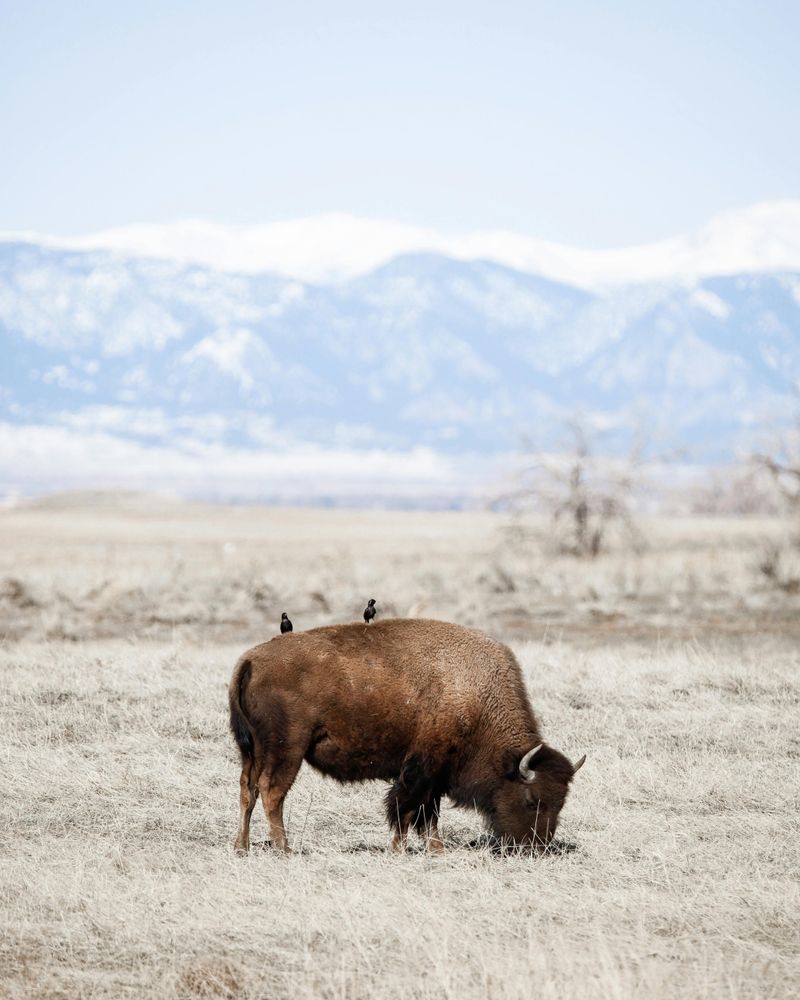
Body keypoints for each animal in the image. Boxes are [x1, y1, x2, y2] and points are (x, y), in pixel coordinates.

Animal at [228, 616, 584, 852]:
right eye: (531, 800)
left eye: (561, 802)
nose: (536, 847)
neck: (474, 695)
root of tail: (251, 660)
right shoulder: (421, 768)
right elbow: (407, 809)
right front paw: (399, 849)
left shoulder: (436, 774)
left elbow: (428, 815)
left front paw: (436, 850)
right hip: (287, 748)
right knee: (271, 792)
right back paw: (284, 849)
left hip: (252, 750)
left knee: (248, 790)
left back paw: (242, 847)